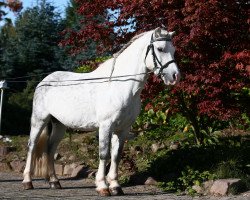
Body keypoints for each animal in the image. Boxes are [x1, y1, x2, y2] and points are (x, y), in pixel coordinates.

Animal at [22, 27, 181, 196]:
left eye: (174, 50)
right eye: (160, 49)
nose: (175, 76)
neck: (120, 85)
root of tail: (44, 81)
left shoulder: (123, 129)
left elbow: (116, 156)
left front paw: (116, 186)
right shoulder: (106, 126)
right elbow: (104, 154)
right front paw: (103, 186)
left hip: (59, 125)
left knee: (50, 149)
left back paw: (54, 181)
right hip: (39, 120)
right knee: (32, 146)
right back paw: (27, 181)